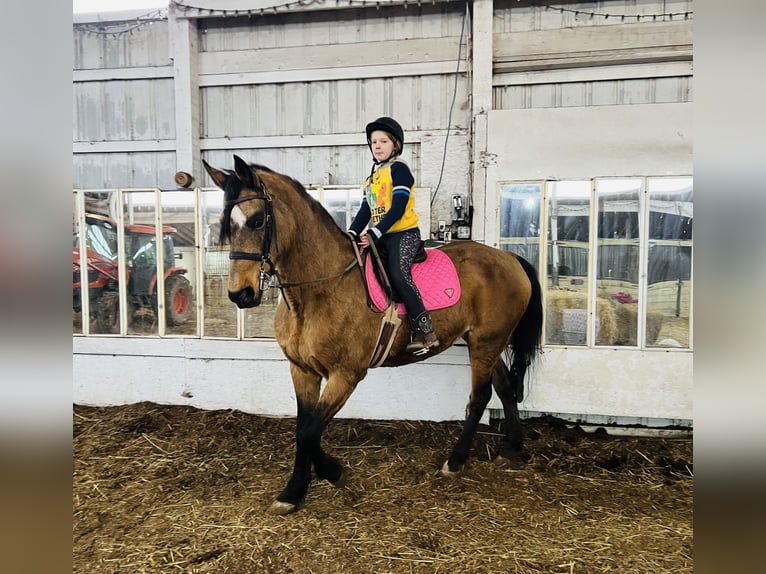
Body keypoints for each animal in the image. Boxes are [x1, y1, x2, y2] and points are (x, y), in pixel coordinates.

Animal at [201, 154, 544, 516]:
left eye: (256, 221)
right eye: (226, 225)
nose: (240, 294)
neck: (318, 289)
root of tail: (509, 257)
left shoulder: (346, 375)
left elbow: (309, 433)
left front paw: (330, 473)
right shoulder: (302, 370)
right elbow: (302, 428)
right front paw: (296, 490)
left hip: (485, 342)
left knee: (479, 398)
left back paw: (455, 461)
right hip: (484, 341)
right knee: (504, 388)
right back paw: (511, 447)